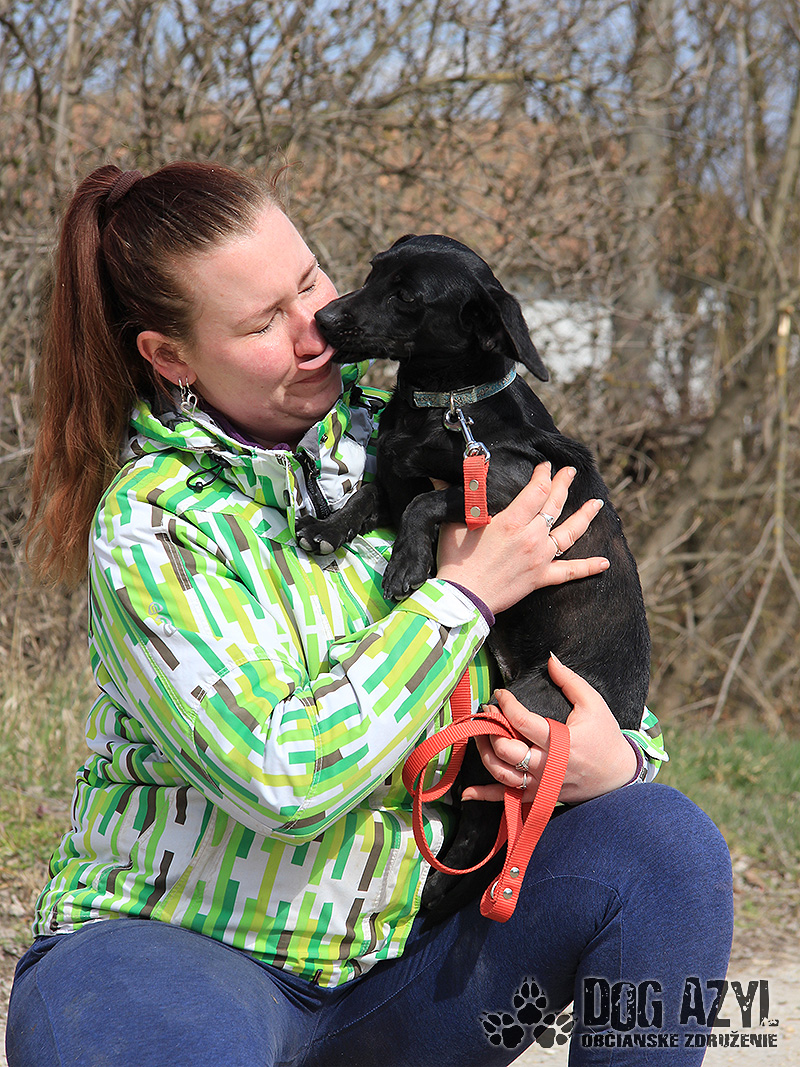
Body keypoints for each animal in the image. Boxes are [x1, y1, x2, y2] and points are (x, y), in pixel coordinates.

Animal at [296, 234, 651, 918]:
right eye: (374, 271)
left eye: (407, 296)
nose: (322, 320)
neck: (446, 408)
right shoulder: (398, 474)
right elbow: (378, 492)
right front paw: (330, 527)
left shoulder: (513, 488)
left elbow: (430, 501)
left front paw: (406, 564)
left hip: (518, 717)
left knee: (492, 821)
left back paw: (445, 889)